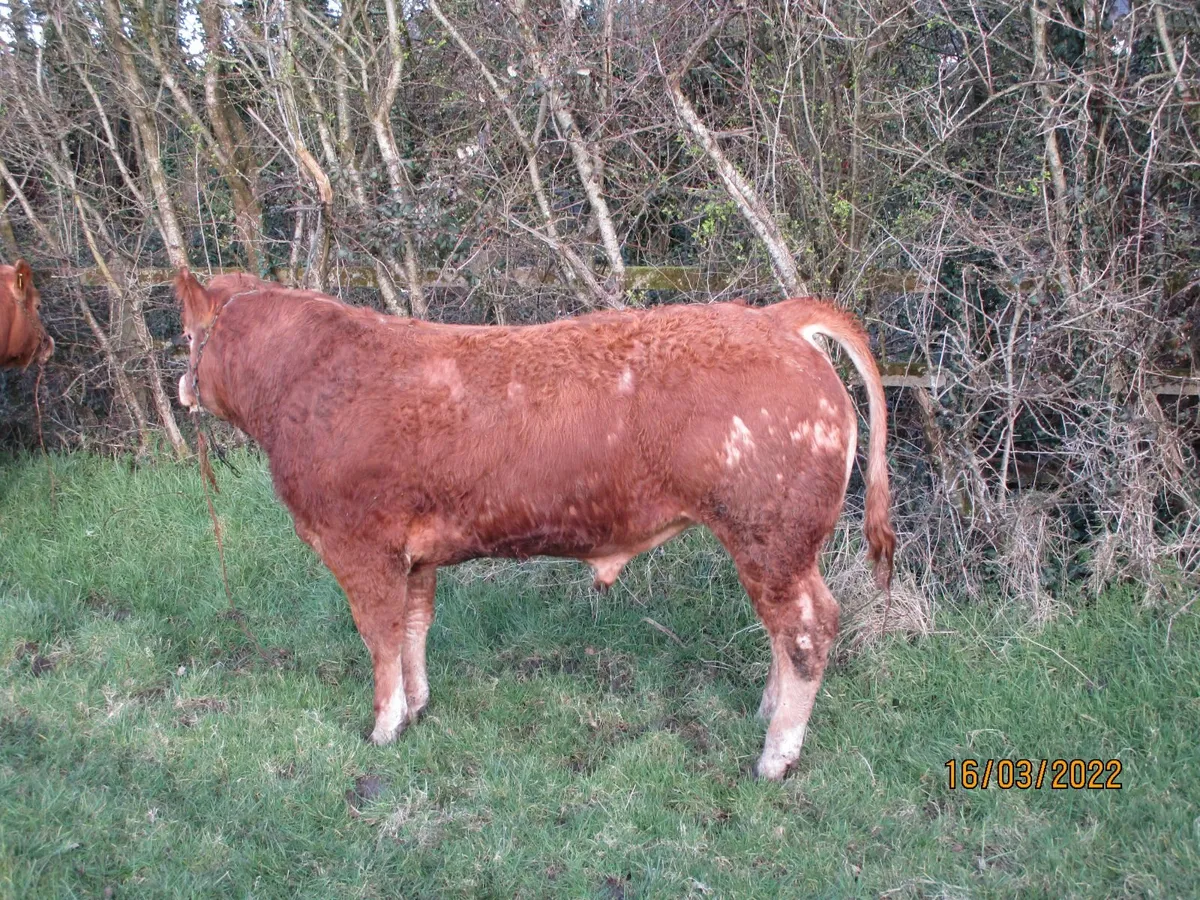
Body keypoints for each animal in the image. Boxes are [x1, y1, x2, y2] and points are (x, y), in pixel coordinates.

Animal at [174, 270, 894, 780]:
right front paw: (419, 705)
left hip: (770, 531)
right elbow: (413, 627)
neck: (306, 384)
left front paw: (384, 728)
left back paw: (776, 756)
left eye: (186, 333)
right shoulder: (415, 554)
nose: (181, 386)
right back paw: (767, 711)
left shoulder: (359, 545)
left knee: (807, 628)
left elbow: (378, 635)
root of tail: (774, 318)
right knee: (787, 628)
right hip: (776, 542)